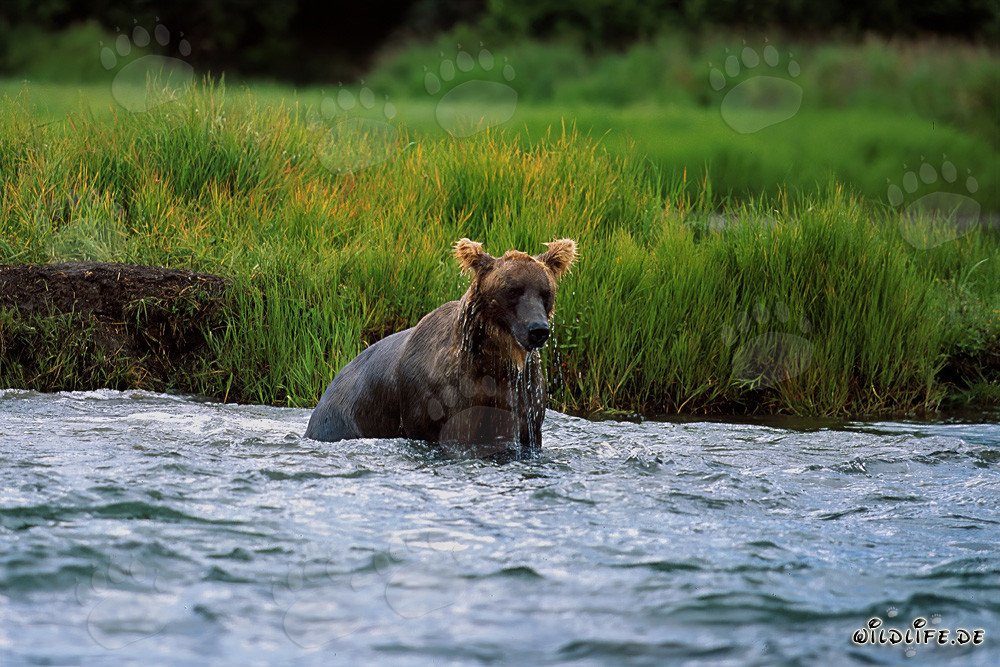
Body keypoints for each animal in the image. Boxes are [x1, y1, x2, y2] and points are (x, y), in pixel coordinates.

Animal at [305, 237, 577, 459]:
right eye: (512, 290)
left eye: (546, 292)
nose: (538, 329)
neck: (493, 360)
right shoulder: (440, 401)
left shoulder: (522, 398)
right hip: (344, 418)